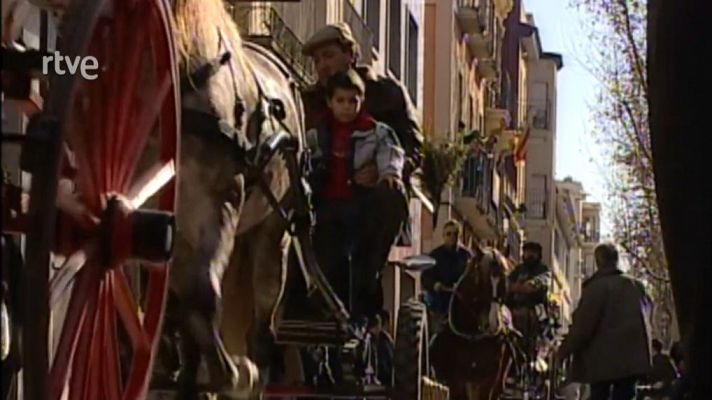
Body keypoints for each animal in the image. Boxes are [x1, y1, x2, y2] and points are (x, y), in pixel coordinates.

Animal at [432, 247, 516, 400]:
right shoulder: (457, 381)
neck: (472, 334)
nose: (493, 323)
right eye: (481, 280)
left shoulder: (488, 380)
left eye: (505, 279)